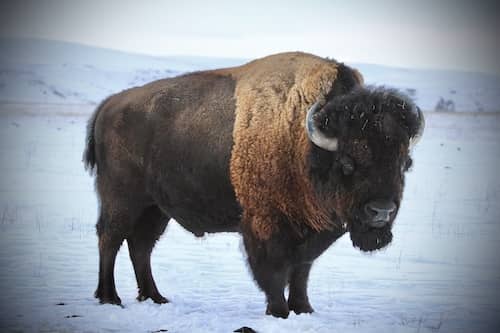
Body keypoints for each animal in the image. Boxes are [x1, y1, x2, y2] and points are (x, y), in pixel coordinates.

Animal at [84, 51, 424, 316]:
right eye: (347, 162)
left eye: (404, 164)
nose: (381, 211)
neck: (303, 144)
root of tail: (109, 105)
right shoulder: (265, 225)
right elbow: (273, 273)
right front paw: (279, 312)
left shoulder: (310, 232)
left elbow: (301, 272)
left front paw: (304, 309)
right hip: (122, 199)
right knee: (110, 238)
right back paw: (110, 298)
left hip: (156, 208)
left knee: (140, 246)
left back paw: (155, 297)